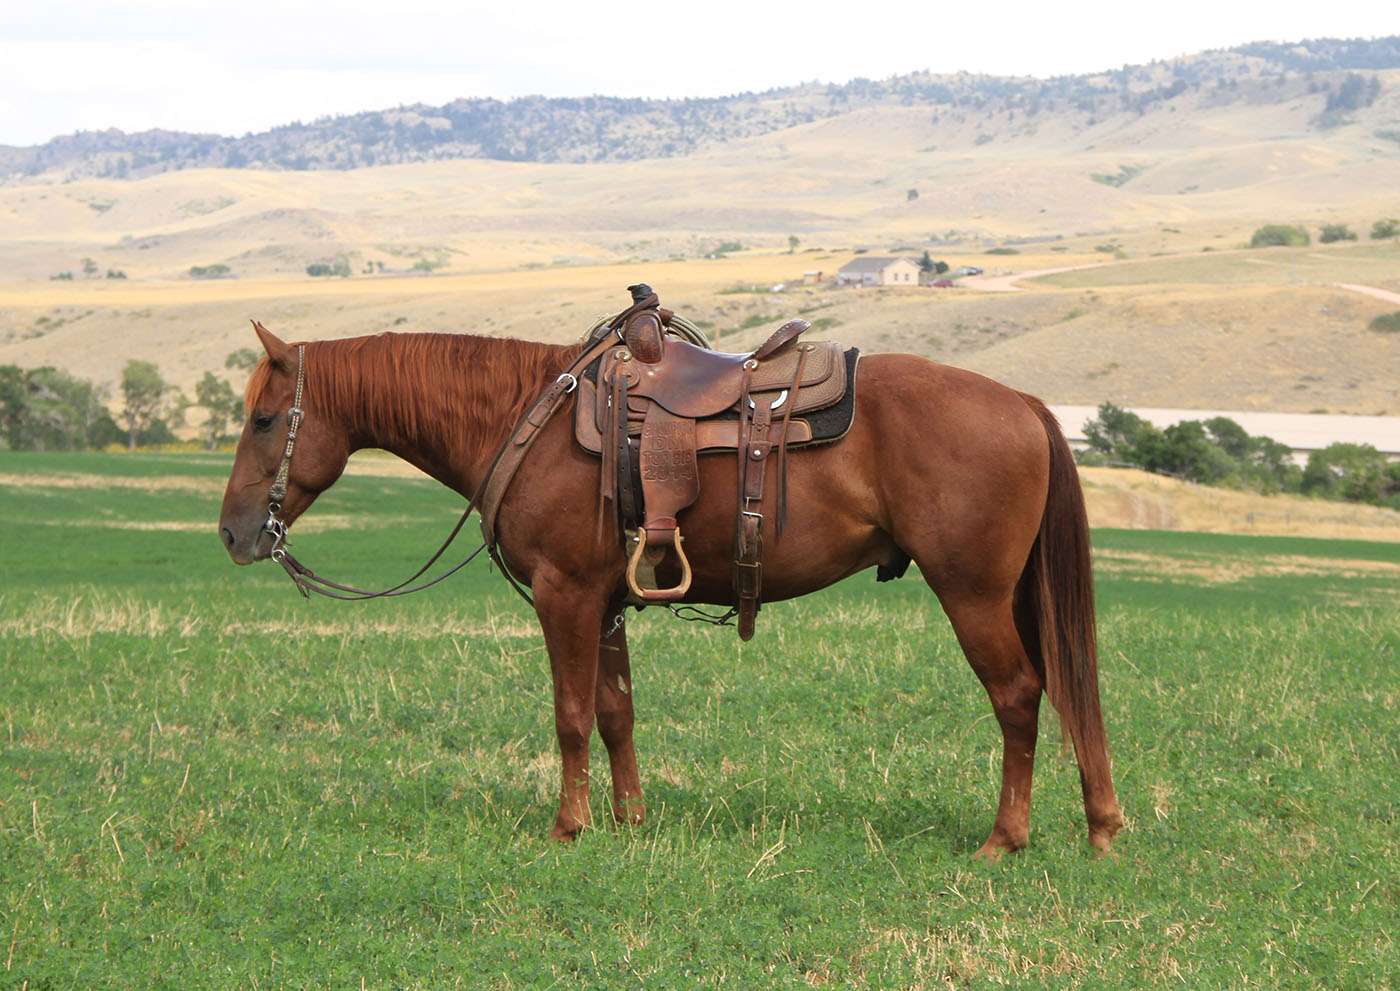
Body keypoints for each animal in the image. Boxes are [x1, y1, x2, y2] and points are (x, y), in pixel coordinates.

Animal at [218, 317, 1124, 858]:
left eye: (264, 419)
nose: (232, 532)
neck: (528, 416)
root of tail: (1026, 403)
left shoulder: (566, 596)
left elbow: (571, 714)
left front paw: (569, 825)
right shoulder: (605, 603)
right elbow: (616, 712)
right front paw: (630, 818)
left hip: (973, 594)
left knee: (1019, 695)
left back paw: (1006, 838)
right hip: (1014, 595)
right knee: (1063, 688)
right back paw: (1100, 820)